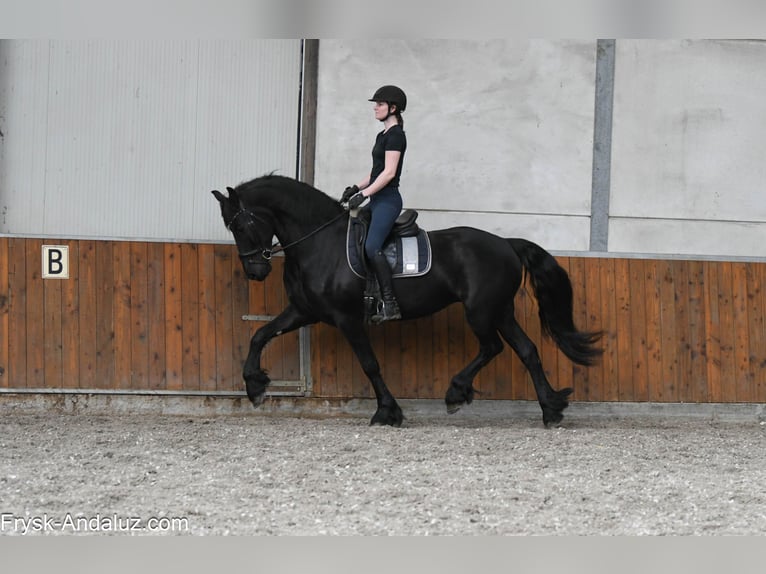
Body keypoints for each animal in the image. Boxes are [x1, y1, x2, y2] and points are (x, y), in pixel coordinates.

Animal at [212, 174, 602, 427]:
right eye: (232, 227)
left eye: (241, 225)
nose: (255, 271)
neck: (319, 243)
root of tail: (506, 243)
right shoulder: (304, 311)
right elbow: (260, 335)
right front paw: (254, 385)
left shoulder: (346, 318)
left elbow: (370, 364)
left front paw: (388, 412)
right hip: (500, 310)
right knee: (527, 350)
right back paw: (551, 408)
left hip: (480, 311)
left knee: (493, 347)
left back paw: (457, 393)